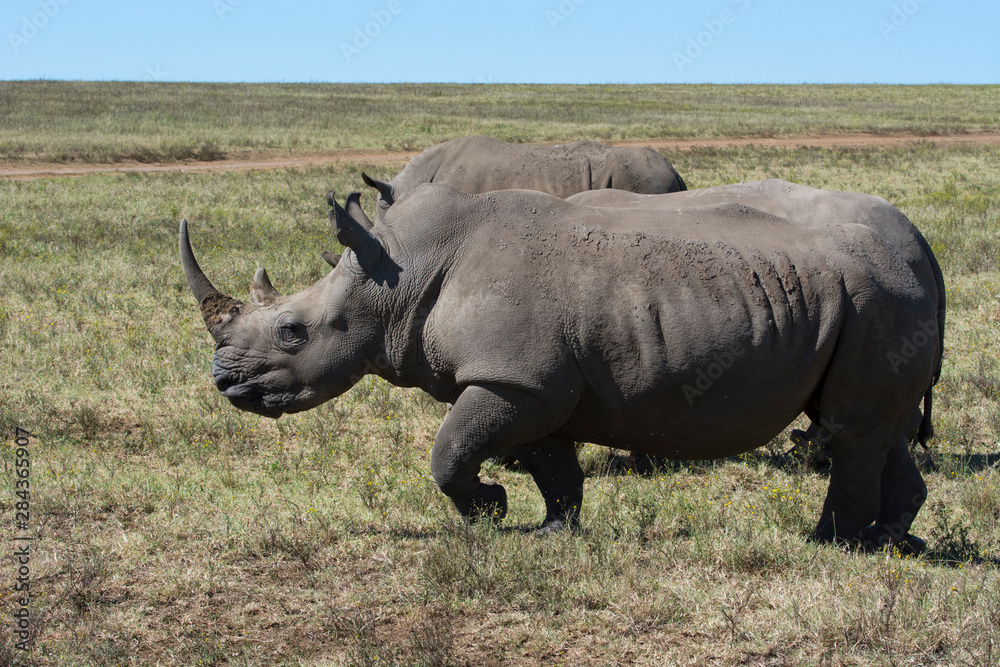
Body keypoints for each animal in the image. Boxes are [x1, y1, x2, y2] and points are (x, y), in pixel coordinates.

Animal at [179, 182, 942, 552]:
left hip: (877, 301)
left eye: (292, 332)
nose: (224, 382)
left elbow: (449, 451)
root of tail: (921, 259)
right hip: (873, 303)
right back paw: (889, 542)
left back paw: (826, 546)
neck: (397, 279)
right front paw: (550, 531)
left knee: (852, 429)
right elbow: (553, 464)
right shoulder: (534, 384)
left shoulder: (512, 378)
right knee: (878, 429)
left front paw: (489, 509)